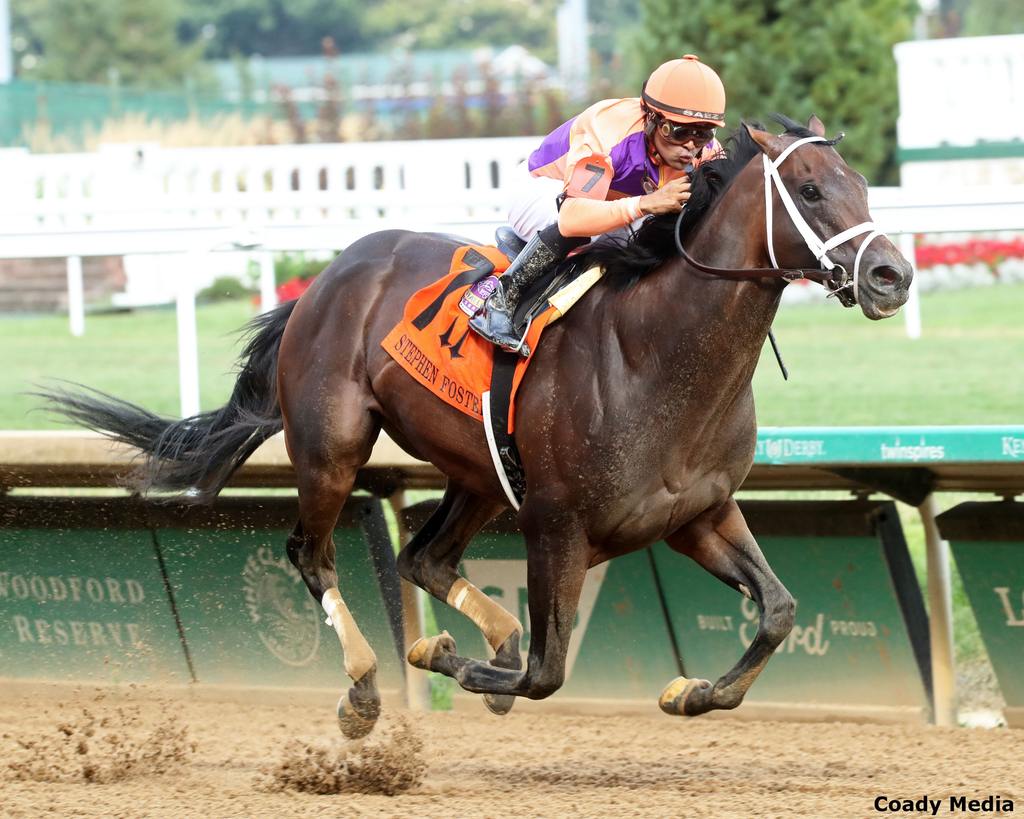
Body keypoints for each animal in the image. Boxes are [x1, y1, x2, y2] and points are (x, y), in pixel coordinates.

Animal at [44, 113, 917, 737]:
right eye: (809, 189)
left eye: (863, 183)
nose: (891, 275)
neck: (656, 354)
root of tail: (325, 277)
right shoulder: (558, 525)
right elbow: (546, 671)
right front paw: (454, 662)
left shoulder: (696, 514)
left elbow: (778, 609)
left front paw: (692, 691)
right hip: (331, 448)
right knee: (312, 553)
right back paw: (367, 687)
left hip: (480, 473)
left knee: (423, 558)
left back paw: (474, 637)